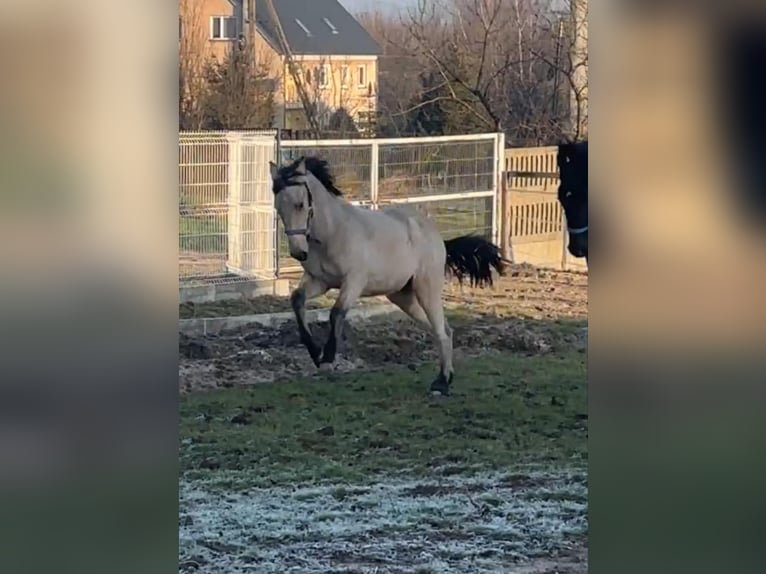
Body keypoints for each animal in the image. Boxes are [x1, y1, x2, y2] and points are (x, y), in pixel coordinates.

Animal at [272, 159, 508, 400]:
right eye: (279, 208)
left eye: (300, 204)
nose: (298, 253)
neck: (333, 233)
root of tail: (439, 238)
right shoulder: (320, 282)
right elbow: (297, 299)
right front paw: (314, 351)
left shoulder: (354, 281)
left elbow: (336, 313)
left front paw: (327, 358)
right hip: (402, 296)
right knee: (442, 330)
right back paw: (445, 378)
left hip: (427, 288)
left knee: (442, 331)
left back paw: (442, 383)